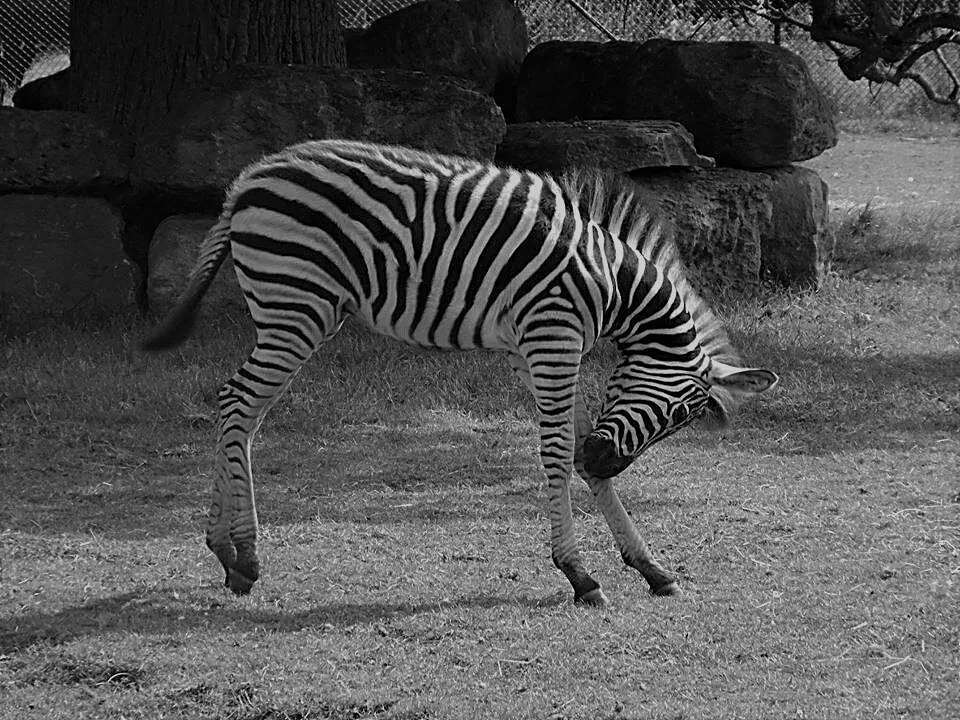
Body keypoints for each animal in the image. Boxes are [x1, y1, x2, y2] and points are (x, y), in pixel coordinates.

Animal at [144, 139, 778, 606]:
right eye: (677, 413)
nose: (606, 460)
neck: (613, 284)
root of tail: (244, 182)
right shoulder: (553, 335)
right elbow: (556, 453)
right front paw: (578, 574)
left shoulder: (534, 347)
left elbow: (572, 449)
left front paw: (649, 567)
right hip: (298, 305)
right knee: (237, 403)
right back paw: (246, 555)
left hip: (291, 309)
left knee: (239, 412)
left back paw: (226, 555)